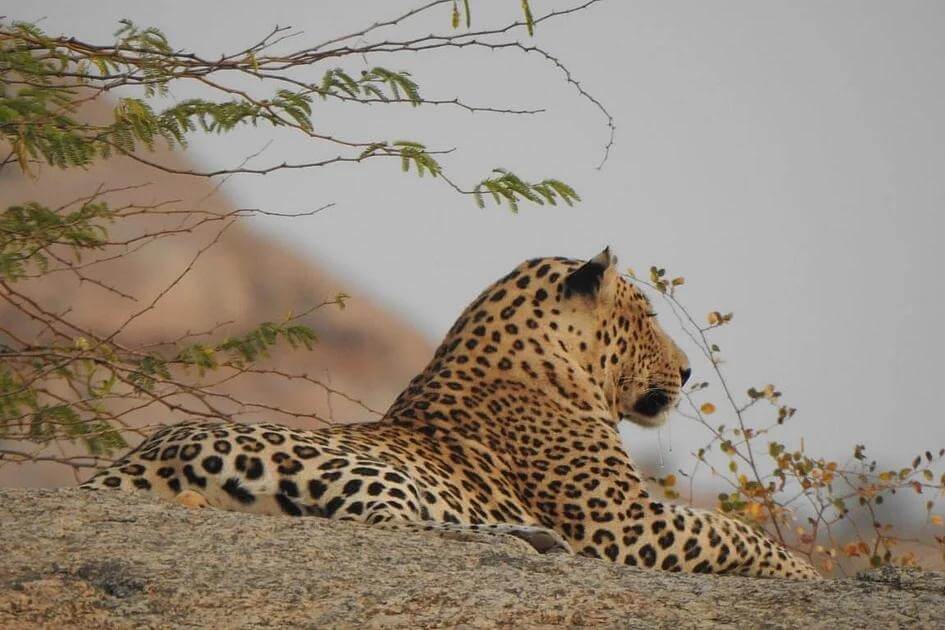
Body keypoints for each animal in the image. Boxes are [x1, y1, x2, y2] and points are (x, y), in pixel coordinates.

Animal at [81, 248, 821, 579]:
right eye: (644, 317)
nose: (688, 370)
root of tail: (138, 459)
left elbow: (725, 528)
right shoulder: (619, 521)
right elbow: (731, 530)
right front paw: (802, 572)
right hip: (367, 471)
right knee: (391, 528)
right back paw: (526, 537)